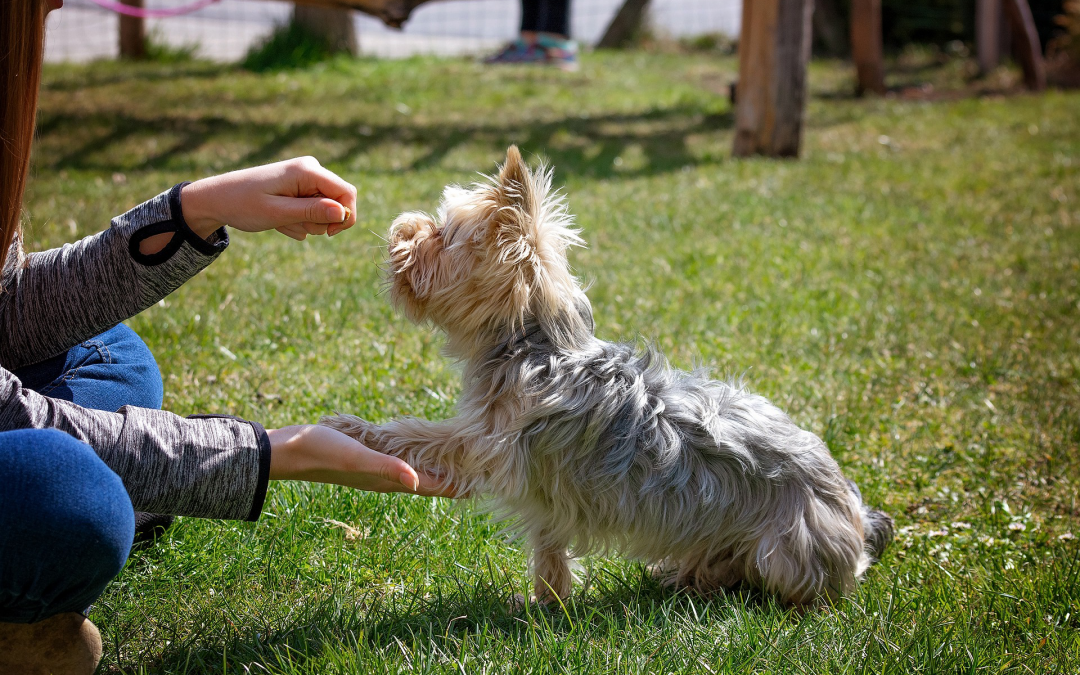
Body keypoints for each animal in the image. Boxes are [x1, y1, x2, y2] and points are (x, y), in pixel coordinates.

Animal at [321, 144, 894, 604]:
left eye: (442, 235)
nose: (401, 227)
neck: (532, 344)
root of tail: (856, 514)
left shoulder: (486, 444)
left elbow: (417, 434)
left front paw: (351, 428)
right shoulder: (543, 492)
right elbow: (549, 547)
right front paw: (547, 603)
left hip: (786, 550)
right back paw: (684, 575)